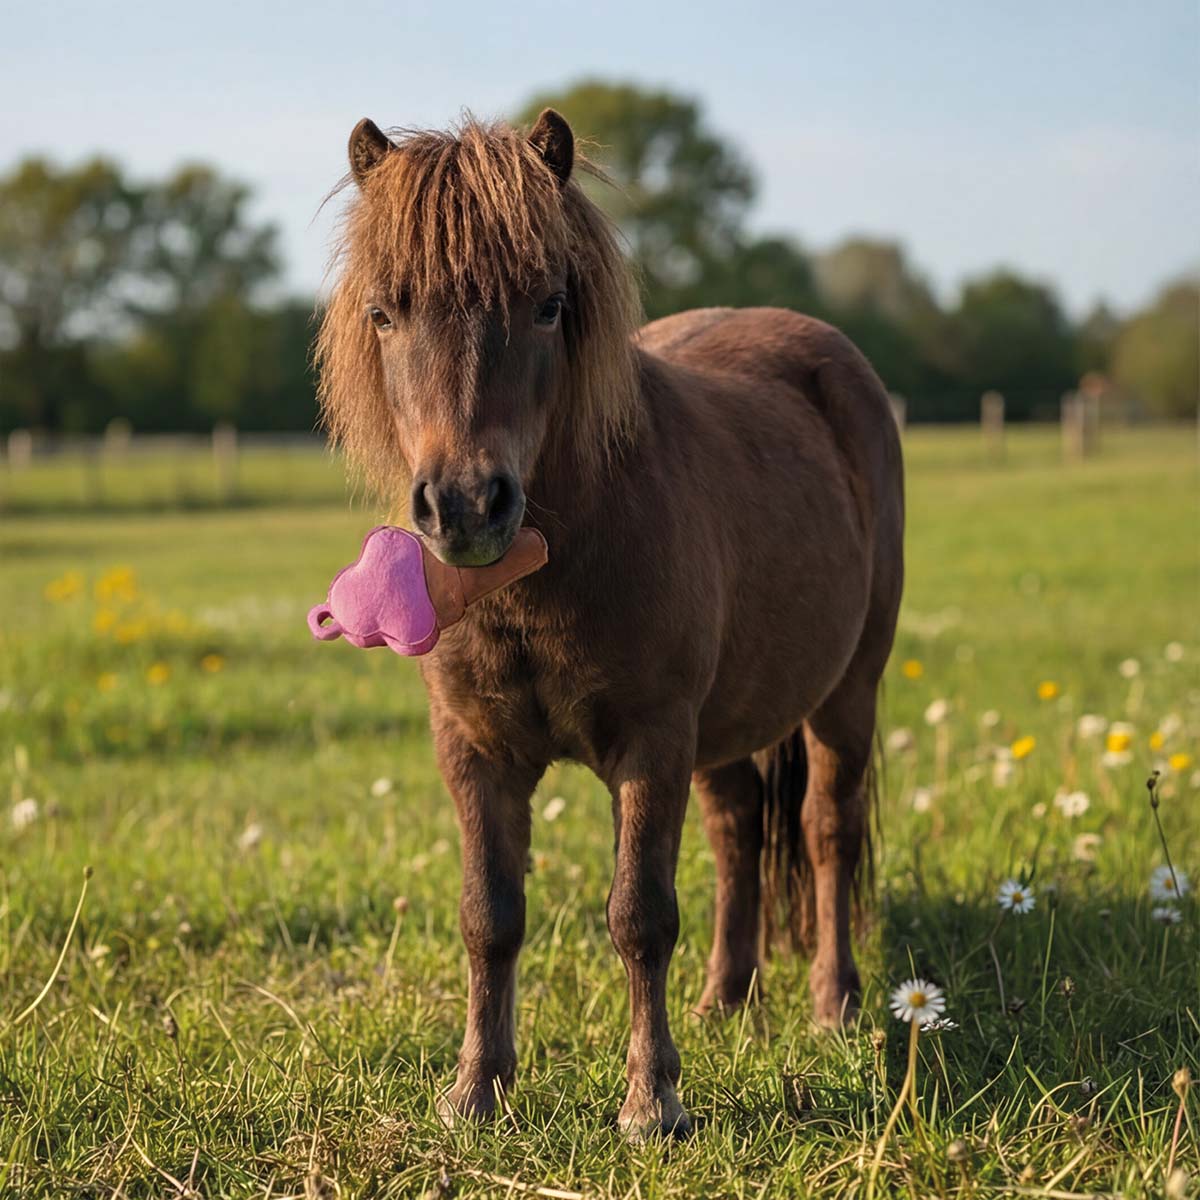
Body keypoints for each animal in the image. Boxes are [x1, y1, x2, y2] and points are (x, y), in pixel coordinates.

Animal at [316, 109, 904, 1140]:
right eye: (385, 313)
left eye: (550, 305)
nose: (466, 505)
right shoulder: (475, 750)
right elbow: (489, 916)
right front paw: (475, 1090)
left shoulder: (652, 741)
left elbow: (640, 916)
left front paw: (651, 1102)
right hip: (724, 731)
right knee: (738, 834)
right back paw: (723, 1002)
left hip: (846, 695)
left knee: (827, 831)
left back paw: (833, 1005)